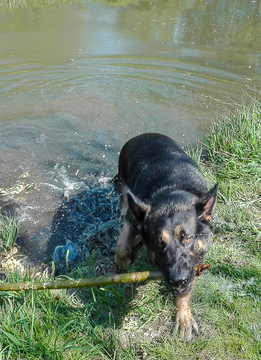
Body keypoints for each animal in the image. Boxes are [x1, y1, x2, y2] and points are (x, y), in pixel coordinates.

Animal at [114, 134, 217, 342]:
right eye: (159, 243)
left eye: (187, 238)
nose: (178, 280)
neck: (172, 194)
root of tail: (145, 135)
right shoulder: (132, 217)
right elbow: (122, 245)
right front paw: (124, 259)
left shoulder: (195, 264)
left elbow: (187, 291)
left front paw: (183, 315)